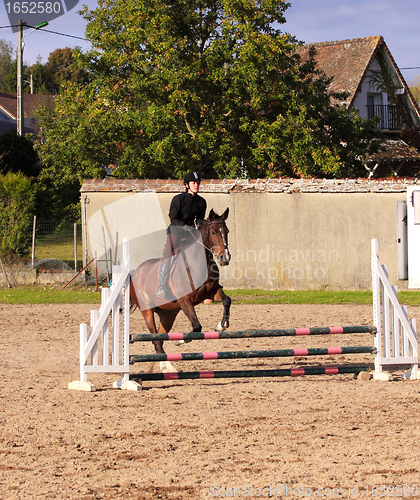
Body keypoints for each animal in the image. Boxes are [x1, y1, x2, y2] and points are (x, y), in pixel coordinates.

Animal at [130, 207, 231, 372]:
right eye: (213, 232)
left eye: (227, 231)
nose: (225, 258)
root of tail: (136, 271)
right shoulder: (185, 301)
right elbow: (196, 327)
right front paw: (180, 341)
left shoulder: (212, 292)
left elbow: (227, 300)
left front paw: (221, 326)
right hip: (147, 311)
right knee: (156, 339)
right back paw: (169, 367)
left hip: (168, 314)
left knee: (160, 339)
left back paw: (166, 366)